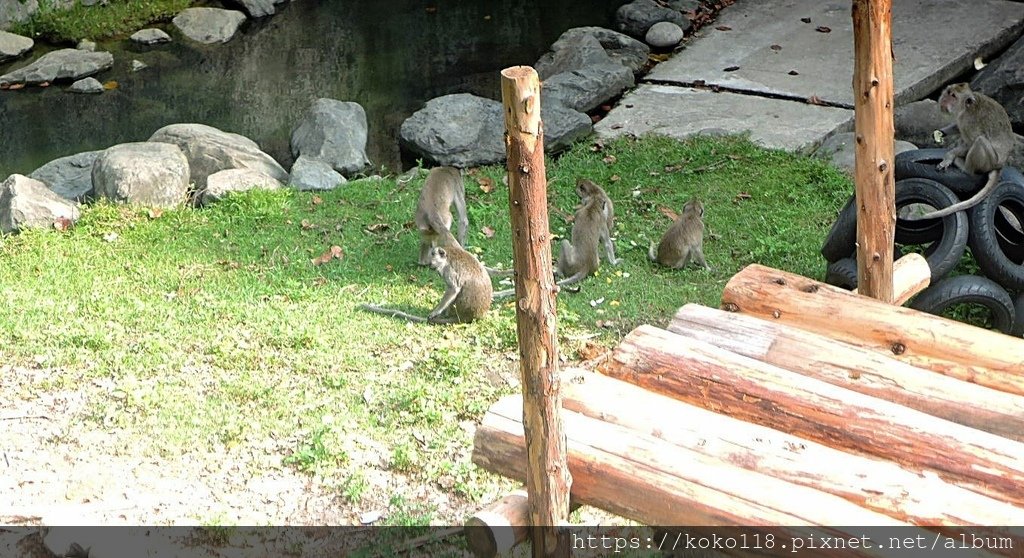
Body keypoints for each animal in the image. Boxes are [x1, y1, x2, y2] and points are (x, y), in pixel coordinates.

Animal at [362, 241, 493, 323]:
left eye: (432, 259)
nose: (430, 266)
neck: (448, 255)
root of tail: (469, 317)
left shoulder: (448, 269)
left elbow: (453, 289)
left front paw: (435, 312)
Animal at [913, 82, 1015, 220]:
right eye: (948, 92)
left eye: (953, 96)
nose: (944, 99)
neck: (965, 108)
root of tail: (1000, 166)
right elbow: (957, 126)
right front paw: (940, 133)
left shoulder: (969, 121)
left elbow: (971, 142)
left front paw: (948, 157)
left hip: (990, 162)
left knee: (980, 141)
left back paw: (964, 166)